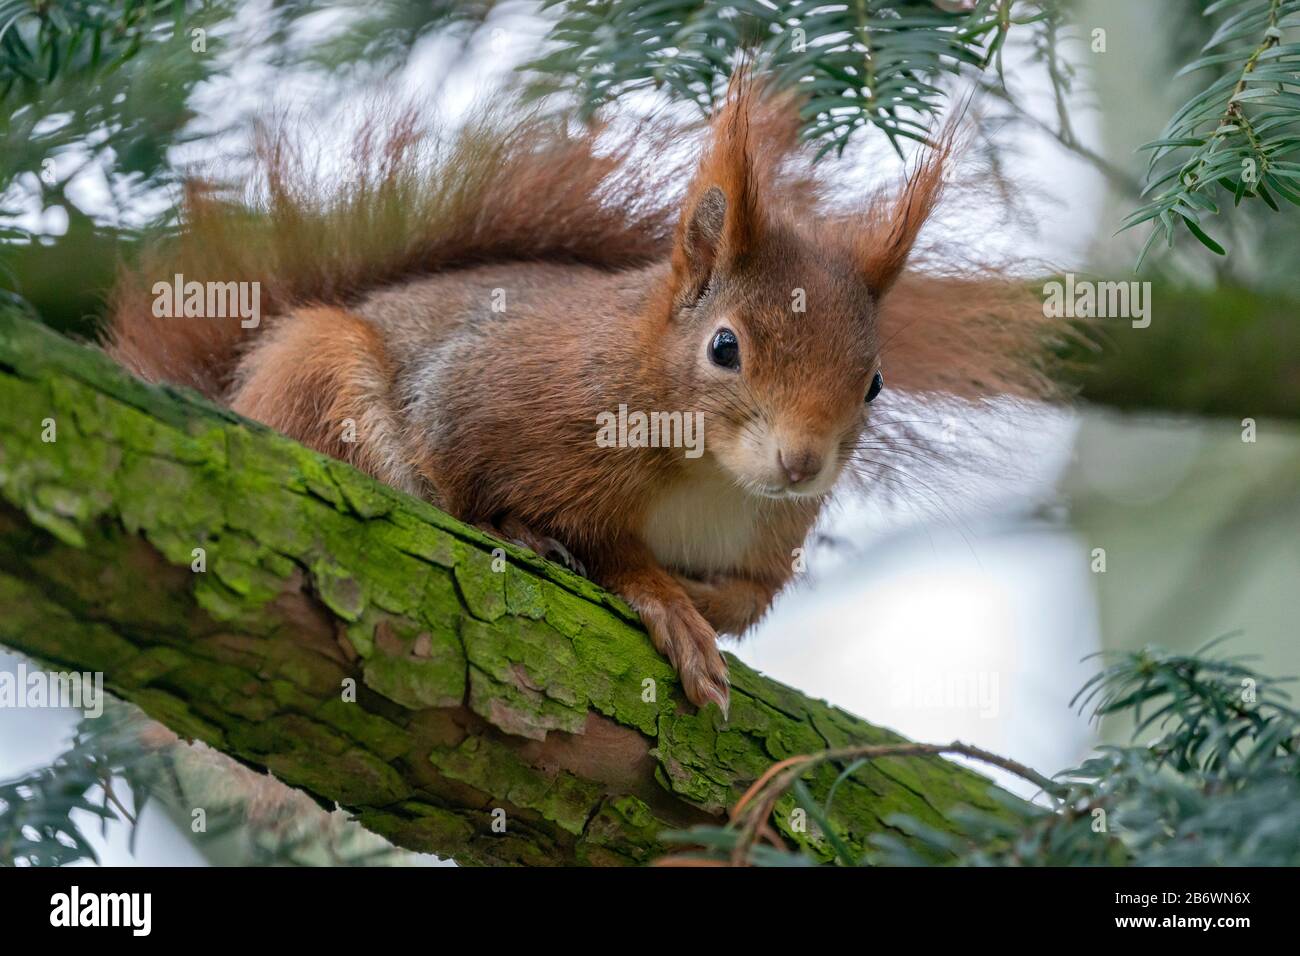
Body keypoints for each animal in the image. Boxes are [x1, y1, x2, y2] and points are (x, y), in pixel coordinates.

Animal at [101, 82, 1055, 717]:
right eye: (724, 347)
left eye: (875, 382)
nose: (801, 463)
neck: (711, 470)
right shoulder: (511, 412)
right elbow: (585, 533)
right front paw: (664, 600)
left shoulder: (769, 536)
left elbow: (752, 598)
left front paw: (706, 604)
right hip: (319, 369)